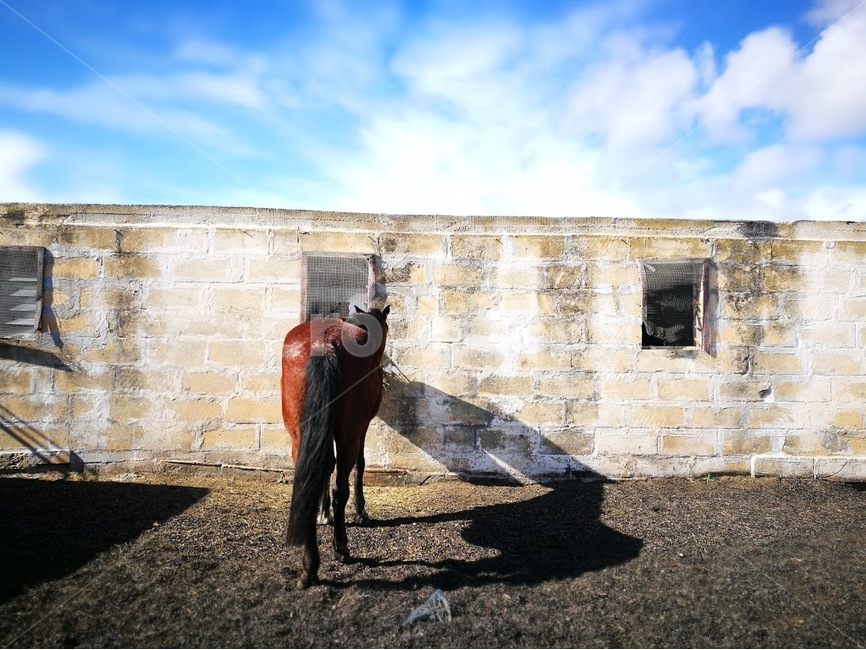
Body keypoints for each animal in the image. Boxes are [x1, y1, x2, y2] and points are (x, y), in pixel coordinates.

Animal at [281, 304, 390, 589]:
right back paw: (341, 548)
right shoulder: (362, 426)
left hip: (299, 434)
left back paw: (309, 565)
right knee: (341, 484)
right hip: (348, 433)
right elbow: (359, 465)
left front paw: (323, 513)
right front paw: (361, 512)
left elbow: (324, 466)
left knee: (309, 476)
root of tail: (323, 345)